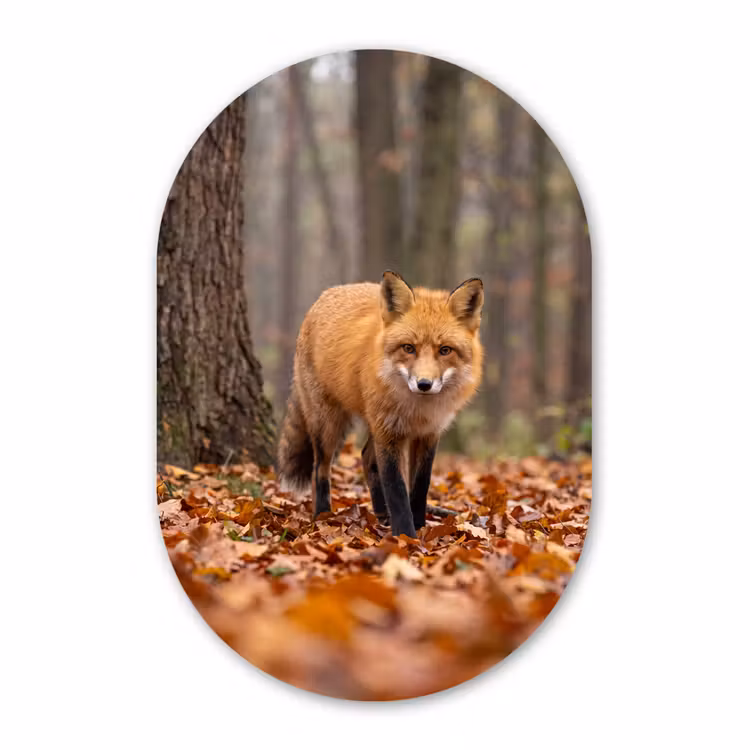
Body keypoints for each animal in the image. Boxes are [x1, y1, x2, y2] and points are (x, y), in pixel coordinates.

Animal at [276, 270, 484, 539]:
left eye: (445, 350)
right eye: (409, 348)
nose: (424, 384)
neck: (418, 411)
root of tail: (326, 294)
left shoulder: (428, 434)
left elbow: (420, 486)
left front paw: (419, 525)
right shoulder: (389, 433)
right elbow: (396, 489)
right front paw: (406, 536)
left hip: (371, 421)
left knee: (366, 458)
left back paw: (381, 513)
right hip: (328, 424)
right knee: (320, 468)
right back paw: (322, 514)